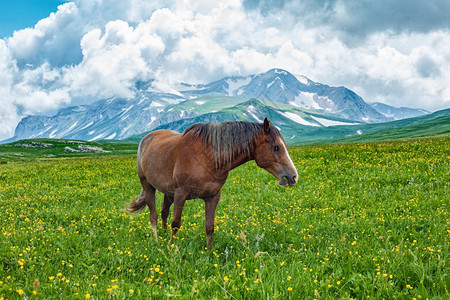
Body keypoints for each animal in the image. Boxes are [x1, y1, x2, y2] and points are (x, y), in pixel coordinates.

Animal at [125, 118, 298, 250]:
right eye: (276, 147)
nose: (293, 177)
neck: (209, 157)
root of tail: (147, 138)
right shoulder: (181, 194)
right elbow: (176, 223)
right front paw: (171, 248)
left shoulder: (213, 197)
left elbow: (210, 226)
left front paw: (209, 252)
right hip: (148, 186)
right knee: (153, 215)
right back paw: (156, 240)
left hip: (168, 191)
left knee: (163, 212)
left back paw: (163, 234)